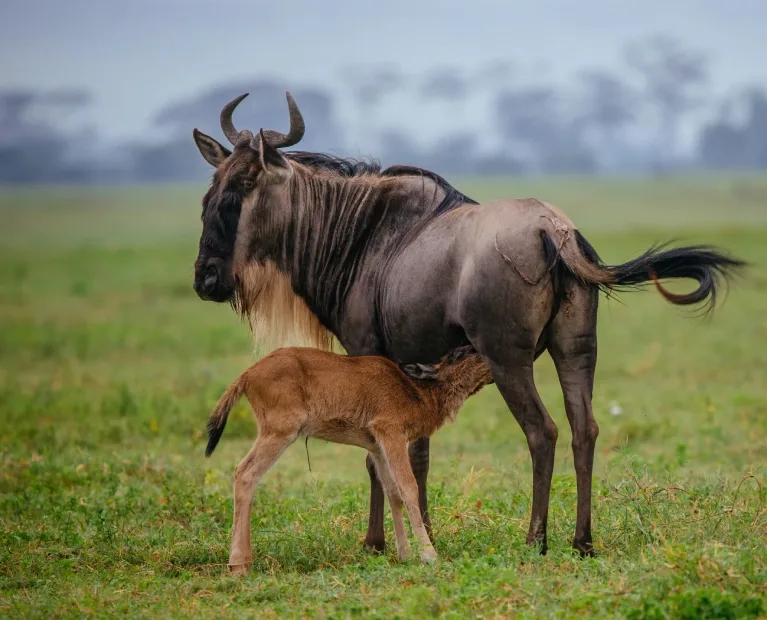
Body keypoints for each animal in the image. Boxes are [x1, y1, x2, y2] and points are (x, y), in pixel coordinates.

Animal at [205, 345, 492, 573]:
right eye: (462, 352)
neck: (416, 390)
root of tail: (247, 375)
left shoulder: (377, 445)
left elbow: (392, 492)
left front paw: (405, 554)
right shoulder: (391, 432)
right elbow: (408, 487)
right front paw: (429, 555)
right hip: (279, 431)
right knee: (245, 472)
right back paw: (239, 564)